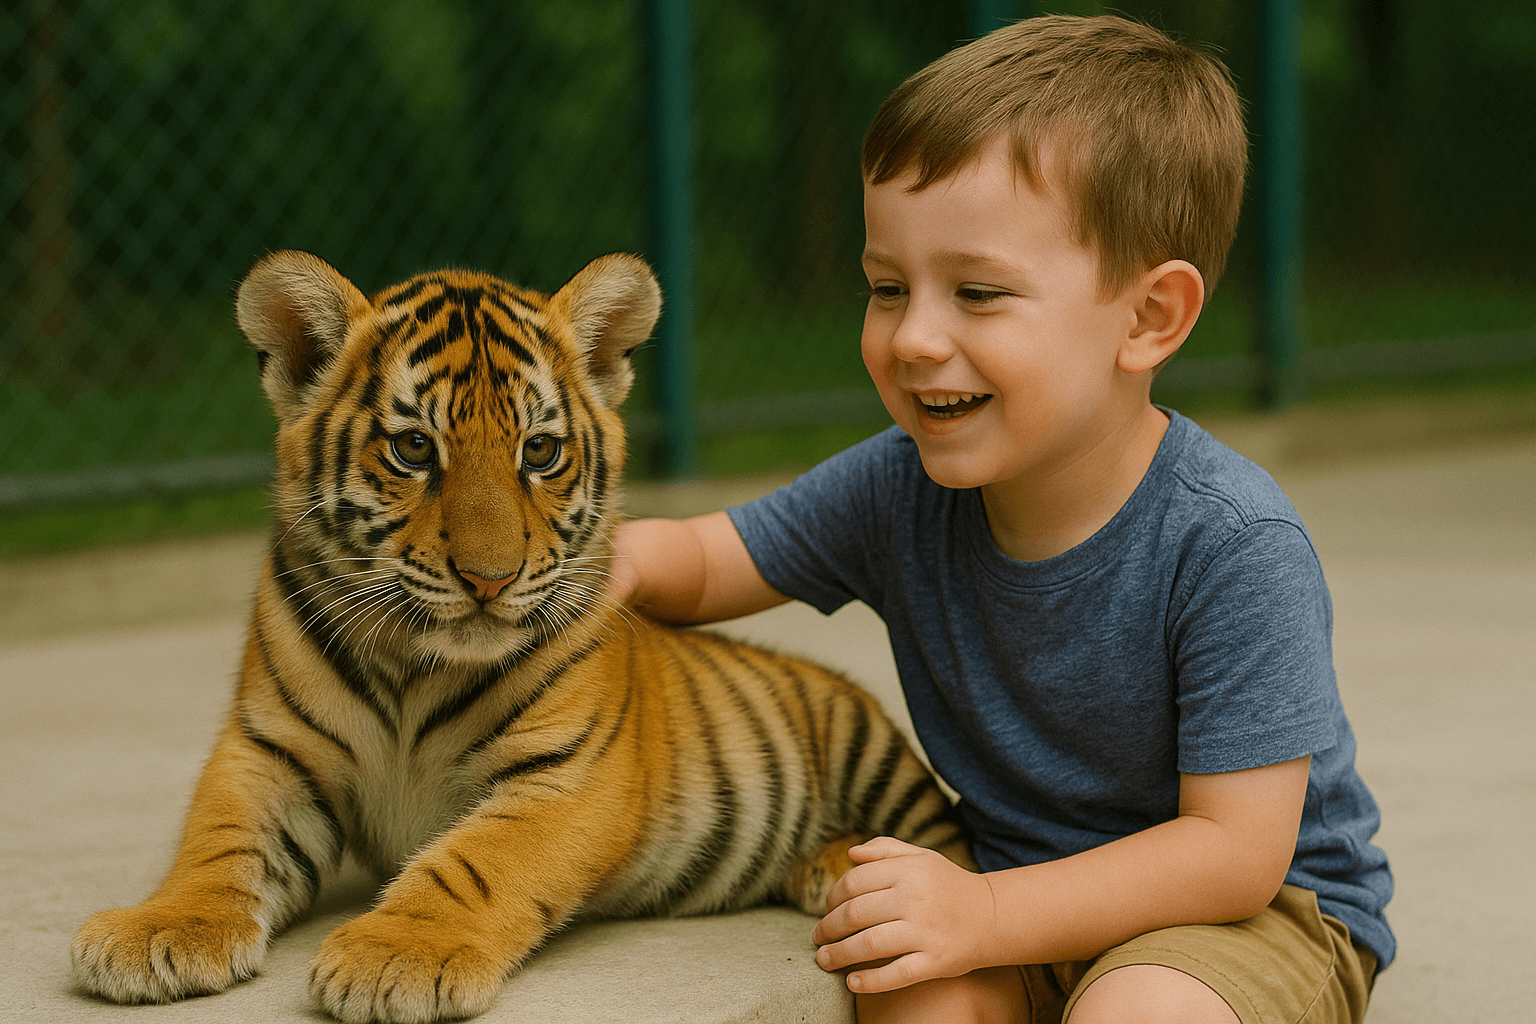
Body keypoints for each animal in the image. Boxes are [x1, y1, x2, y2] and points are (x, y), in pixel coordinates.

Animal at [70, 250, 972, 1024]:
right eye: (413, 448)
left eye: (539, 451)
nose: (490, 579)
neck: (412, 665)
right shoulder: (266, 751)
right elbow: (216, 842)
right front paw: (159, 930)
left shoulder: (569, 774)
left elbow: (475, 862)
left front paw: (394, 956)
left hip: (864, 741)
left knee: (948, 843)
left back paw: (850, 872)